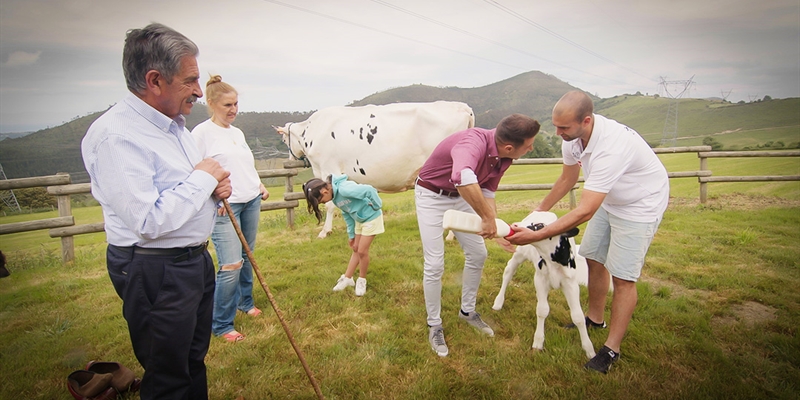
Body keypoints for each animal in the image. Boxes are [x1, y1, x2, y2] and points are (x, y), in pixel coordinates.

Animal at [276, 101, 476, 238]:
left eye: (284, 140)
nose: (289, 159)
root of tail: (461, 106)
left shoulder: (328, 169)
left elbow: (330, 205)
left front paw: (325, 231)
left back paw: (452, 235)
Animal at [490, 211, 596, 358]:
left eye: (540, 225)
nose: (514, 225)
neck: (552, 261)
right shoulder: (540, 279)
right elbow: (542, 310)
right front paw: (538, 342)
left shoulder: (571, 284)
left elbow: (578, 316)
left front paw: (589, 349)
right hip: (519, 254)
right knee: (508, 272)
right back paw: (498, 302)